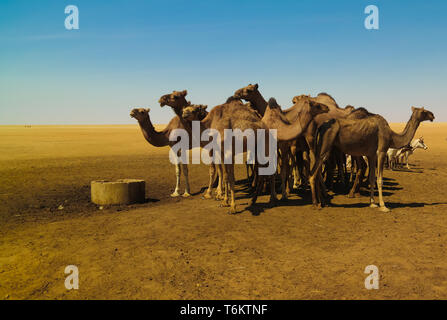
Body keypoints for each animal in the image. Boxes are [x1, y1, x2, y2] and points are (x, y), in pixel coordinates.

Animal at [180, 97, 330, 212]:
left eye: (194, 110)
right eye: (186, 109)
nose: (183, 113)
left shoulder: (229, 151)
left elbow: (232, 177)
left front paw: (232, 206)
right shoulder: (222, 152)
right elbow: (227, 176)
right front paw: (224, 201)